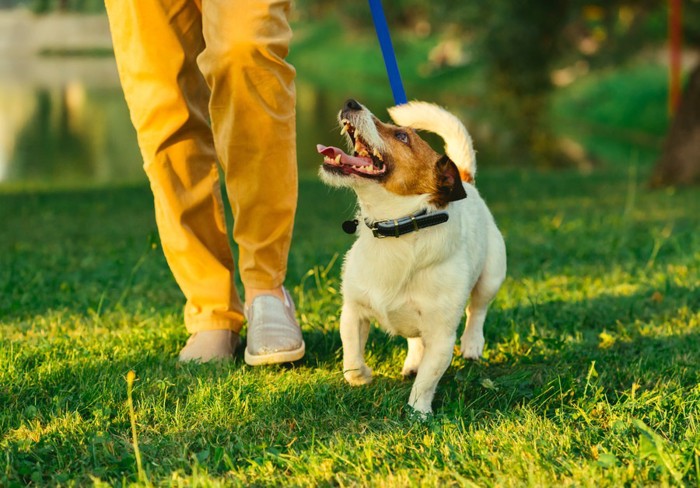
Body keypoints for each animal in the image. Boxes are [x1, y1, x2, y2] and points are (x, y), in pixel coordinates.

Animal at [318, 99, 508, 416]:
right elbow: (352, 355)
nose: (351, 102)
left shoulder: (442, 337)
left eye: (402, 136)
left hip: (491, 276)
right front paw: (361, 377)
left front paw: (419, 413)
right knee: (415, 340)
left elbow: (427, 381)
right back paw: (412, 363)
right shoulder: (353, 311)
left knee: (477, 309)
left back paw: (472, 345)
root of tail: (465, 179)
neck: (396, 228)